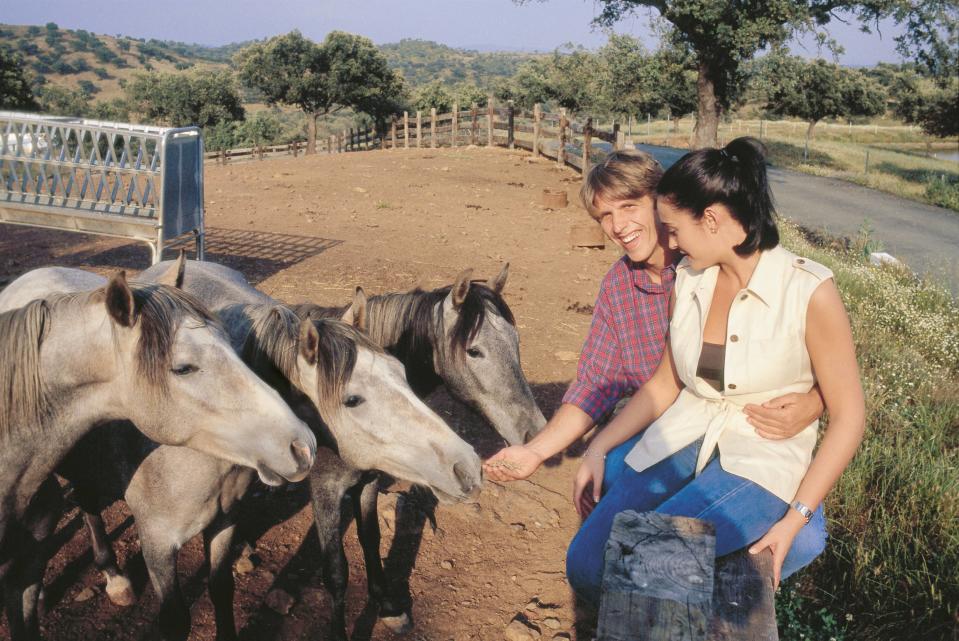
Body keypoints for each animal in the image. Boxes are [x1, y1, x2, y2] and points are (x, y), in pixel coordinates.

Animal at [0, 268, 318, 636]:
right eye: (183, 368)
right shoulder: (157, 542)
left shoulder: (225, 522)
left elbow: (221, 589)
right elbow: (174, 619)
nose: (302, 446)